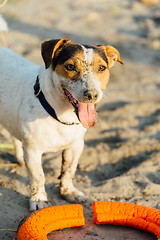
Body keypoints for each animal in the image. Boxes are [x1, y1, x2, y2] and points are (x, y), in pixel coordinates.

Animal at [0, 37, 122, 210]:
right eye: (70, 66)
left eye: (102, 68)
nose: (92, 95)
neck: (60, 115)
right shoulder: (33, 150)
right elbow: (38, 176)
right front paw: (39, 200)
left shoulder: (76, 146)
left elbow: (69, 171)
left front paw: (68, 192)